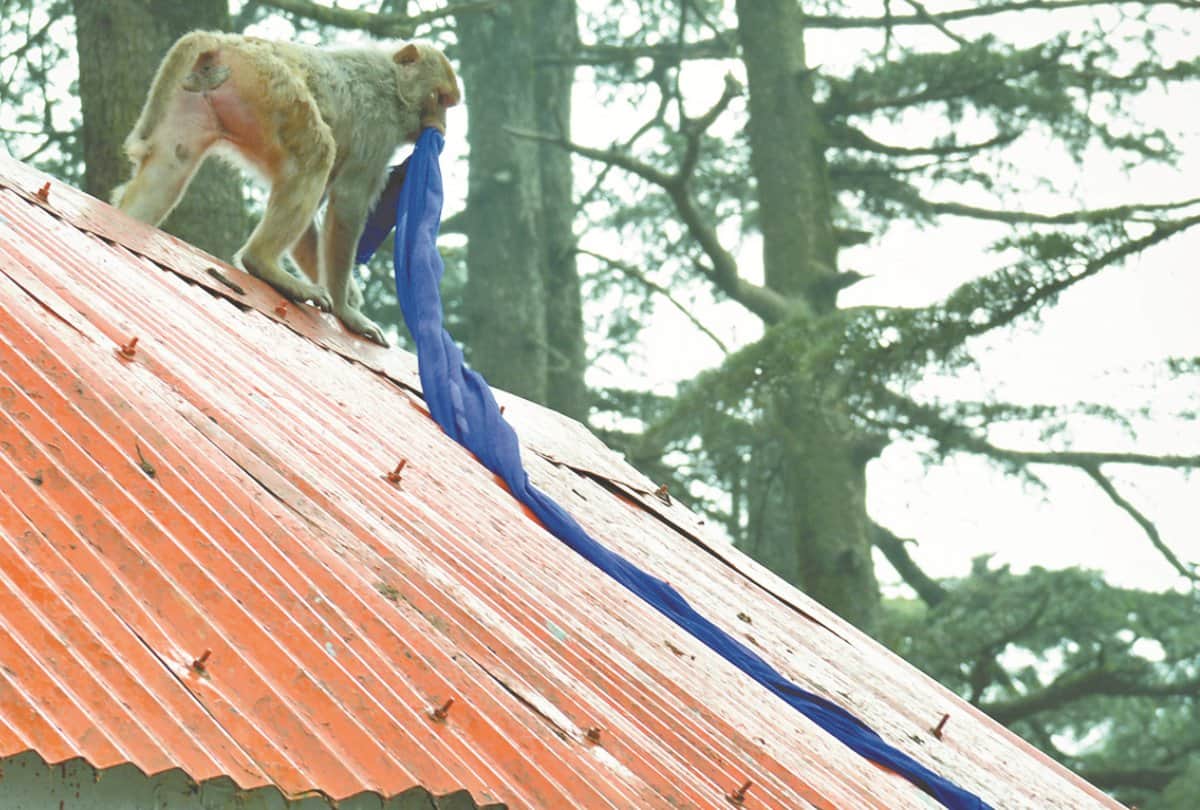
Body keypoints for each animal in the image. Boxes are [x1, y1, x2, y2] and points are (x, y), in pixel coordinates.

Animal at [113, 32, 460, 345]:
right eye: (439, 99)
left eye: (448, 105)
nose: (443, 127)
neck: (394, 85)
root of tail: (224, 41)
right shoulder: (379, 127)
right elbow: (348, 202)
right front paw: (346, 308)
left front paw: (349, 294)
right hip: (270, 84)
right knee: (317, 153)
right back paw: (262, 263)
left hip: (198, 98)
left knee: (171, 165)